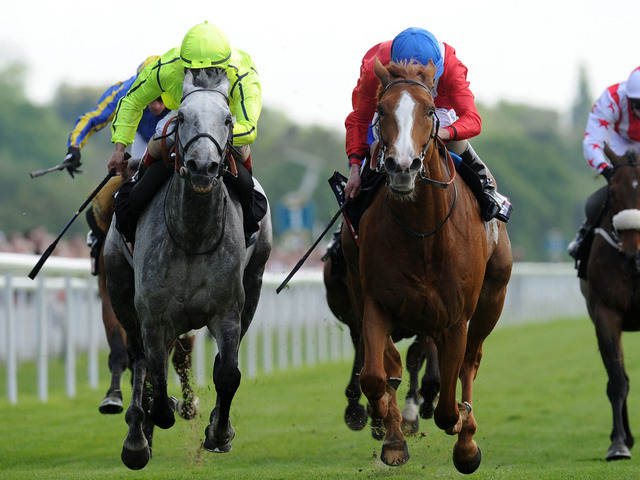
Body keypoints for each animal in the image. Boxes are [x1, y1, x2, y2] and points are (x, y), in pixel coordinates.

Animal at [103, 67, 272, 468]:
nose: (202, 166)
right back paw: (137, 438)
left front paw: (219, 433)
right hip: (119, 286)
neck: (193, 235)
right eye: (180, 117)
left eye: (228, 120)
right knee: (139, 360)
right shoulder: (153, 315)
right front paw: (160, 413)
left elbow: (227, 373)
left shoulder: (227, 310)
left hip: (255, 283)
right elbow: (157, 378)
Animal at [342, 59, 512, 472]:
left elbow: (450, 407)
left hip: (492, 298)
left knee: (471, 362)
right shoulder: (377, 302)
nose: (402, 166)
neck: (422, 232)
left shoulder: (455, 317)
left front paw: (464, 436)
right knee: (391, 365)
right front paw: (390, 434)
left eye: (430, 110)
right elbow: (375, 375)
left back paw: (466, 433)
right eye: (382, 109)